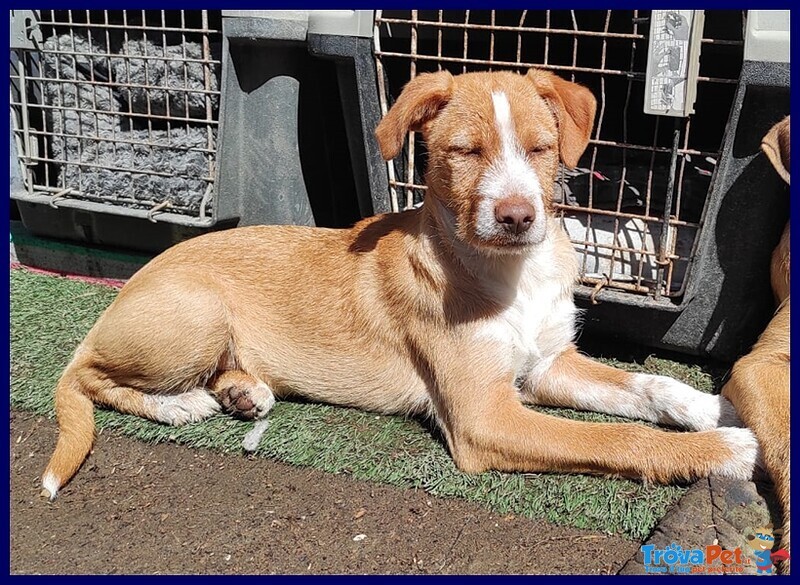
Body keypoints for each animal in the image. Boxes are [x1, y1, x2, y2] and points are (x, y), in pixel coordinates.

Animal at [43, 68, 756, 498]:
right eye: (464, 152)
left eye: (540, 149)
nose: (517, 217)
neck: (509, 274)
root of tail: (126, 292)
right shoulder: (485, 415)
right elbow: (612, 437)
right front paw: (726, 450)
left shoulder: (547, 365)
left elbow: (650, 387)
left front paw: (715, 410)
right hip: (195, 313)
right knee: (86, 377)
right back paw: (180, 404)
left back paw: (241, 391)